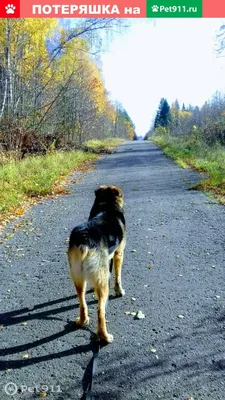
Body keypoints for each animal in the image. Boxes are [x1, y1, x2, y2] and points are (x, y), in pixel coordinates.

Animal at [67, 186, 125, 342]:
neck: (107, 206)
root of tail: (84, 240)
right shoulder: (118, 254)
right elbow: (117, 277)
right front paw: (119, 291)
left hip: (78, 277)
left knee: (82, 302)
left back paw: (82, 321)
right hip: (102, 282)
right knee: (101, 311)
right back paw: (105, 337)